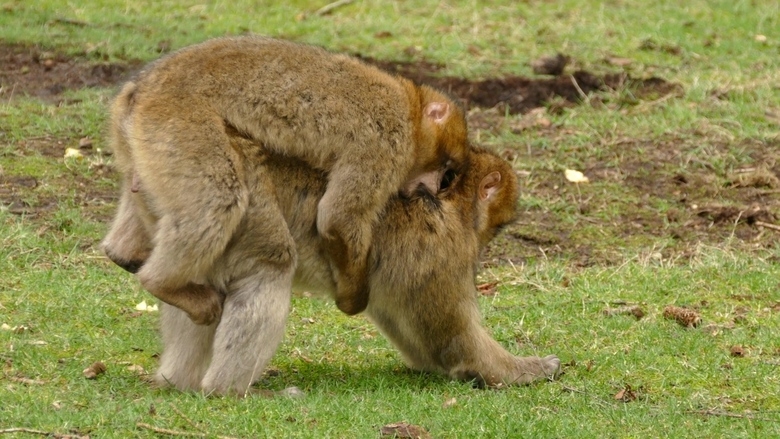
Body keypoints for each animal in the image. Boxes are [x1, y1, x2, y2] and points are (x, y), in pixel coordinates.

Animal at [103, 36, 470, 324]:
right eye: (447, 173)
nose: (430, 188)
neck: (410, 109)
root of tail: (141, 88)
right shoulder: (386, 144)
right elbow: (337, 218)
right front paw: (353, 297)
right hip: (175, 120)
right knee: (217, 199)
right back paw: (160, 282)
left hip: (141, 138)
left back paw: (123, 252)